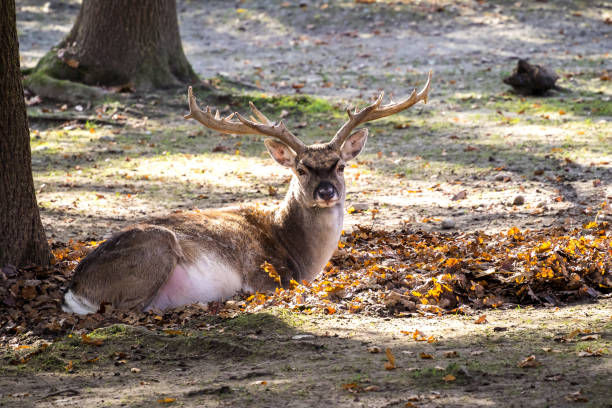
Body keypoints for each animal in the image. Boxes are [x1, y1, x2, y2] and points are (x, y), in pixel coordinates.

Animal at [62, 71, 430, 314]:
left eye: (340, 166)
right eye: (301, 169)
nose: (326, 192)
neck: (300, 253)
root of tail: (76, 288)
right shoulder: (263, 272)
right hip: (157, 247)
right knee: (126, 309)